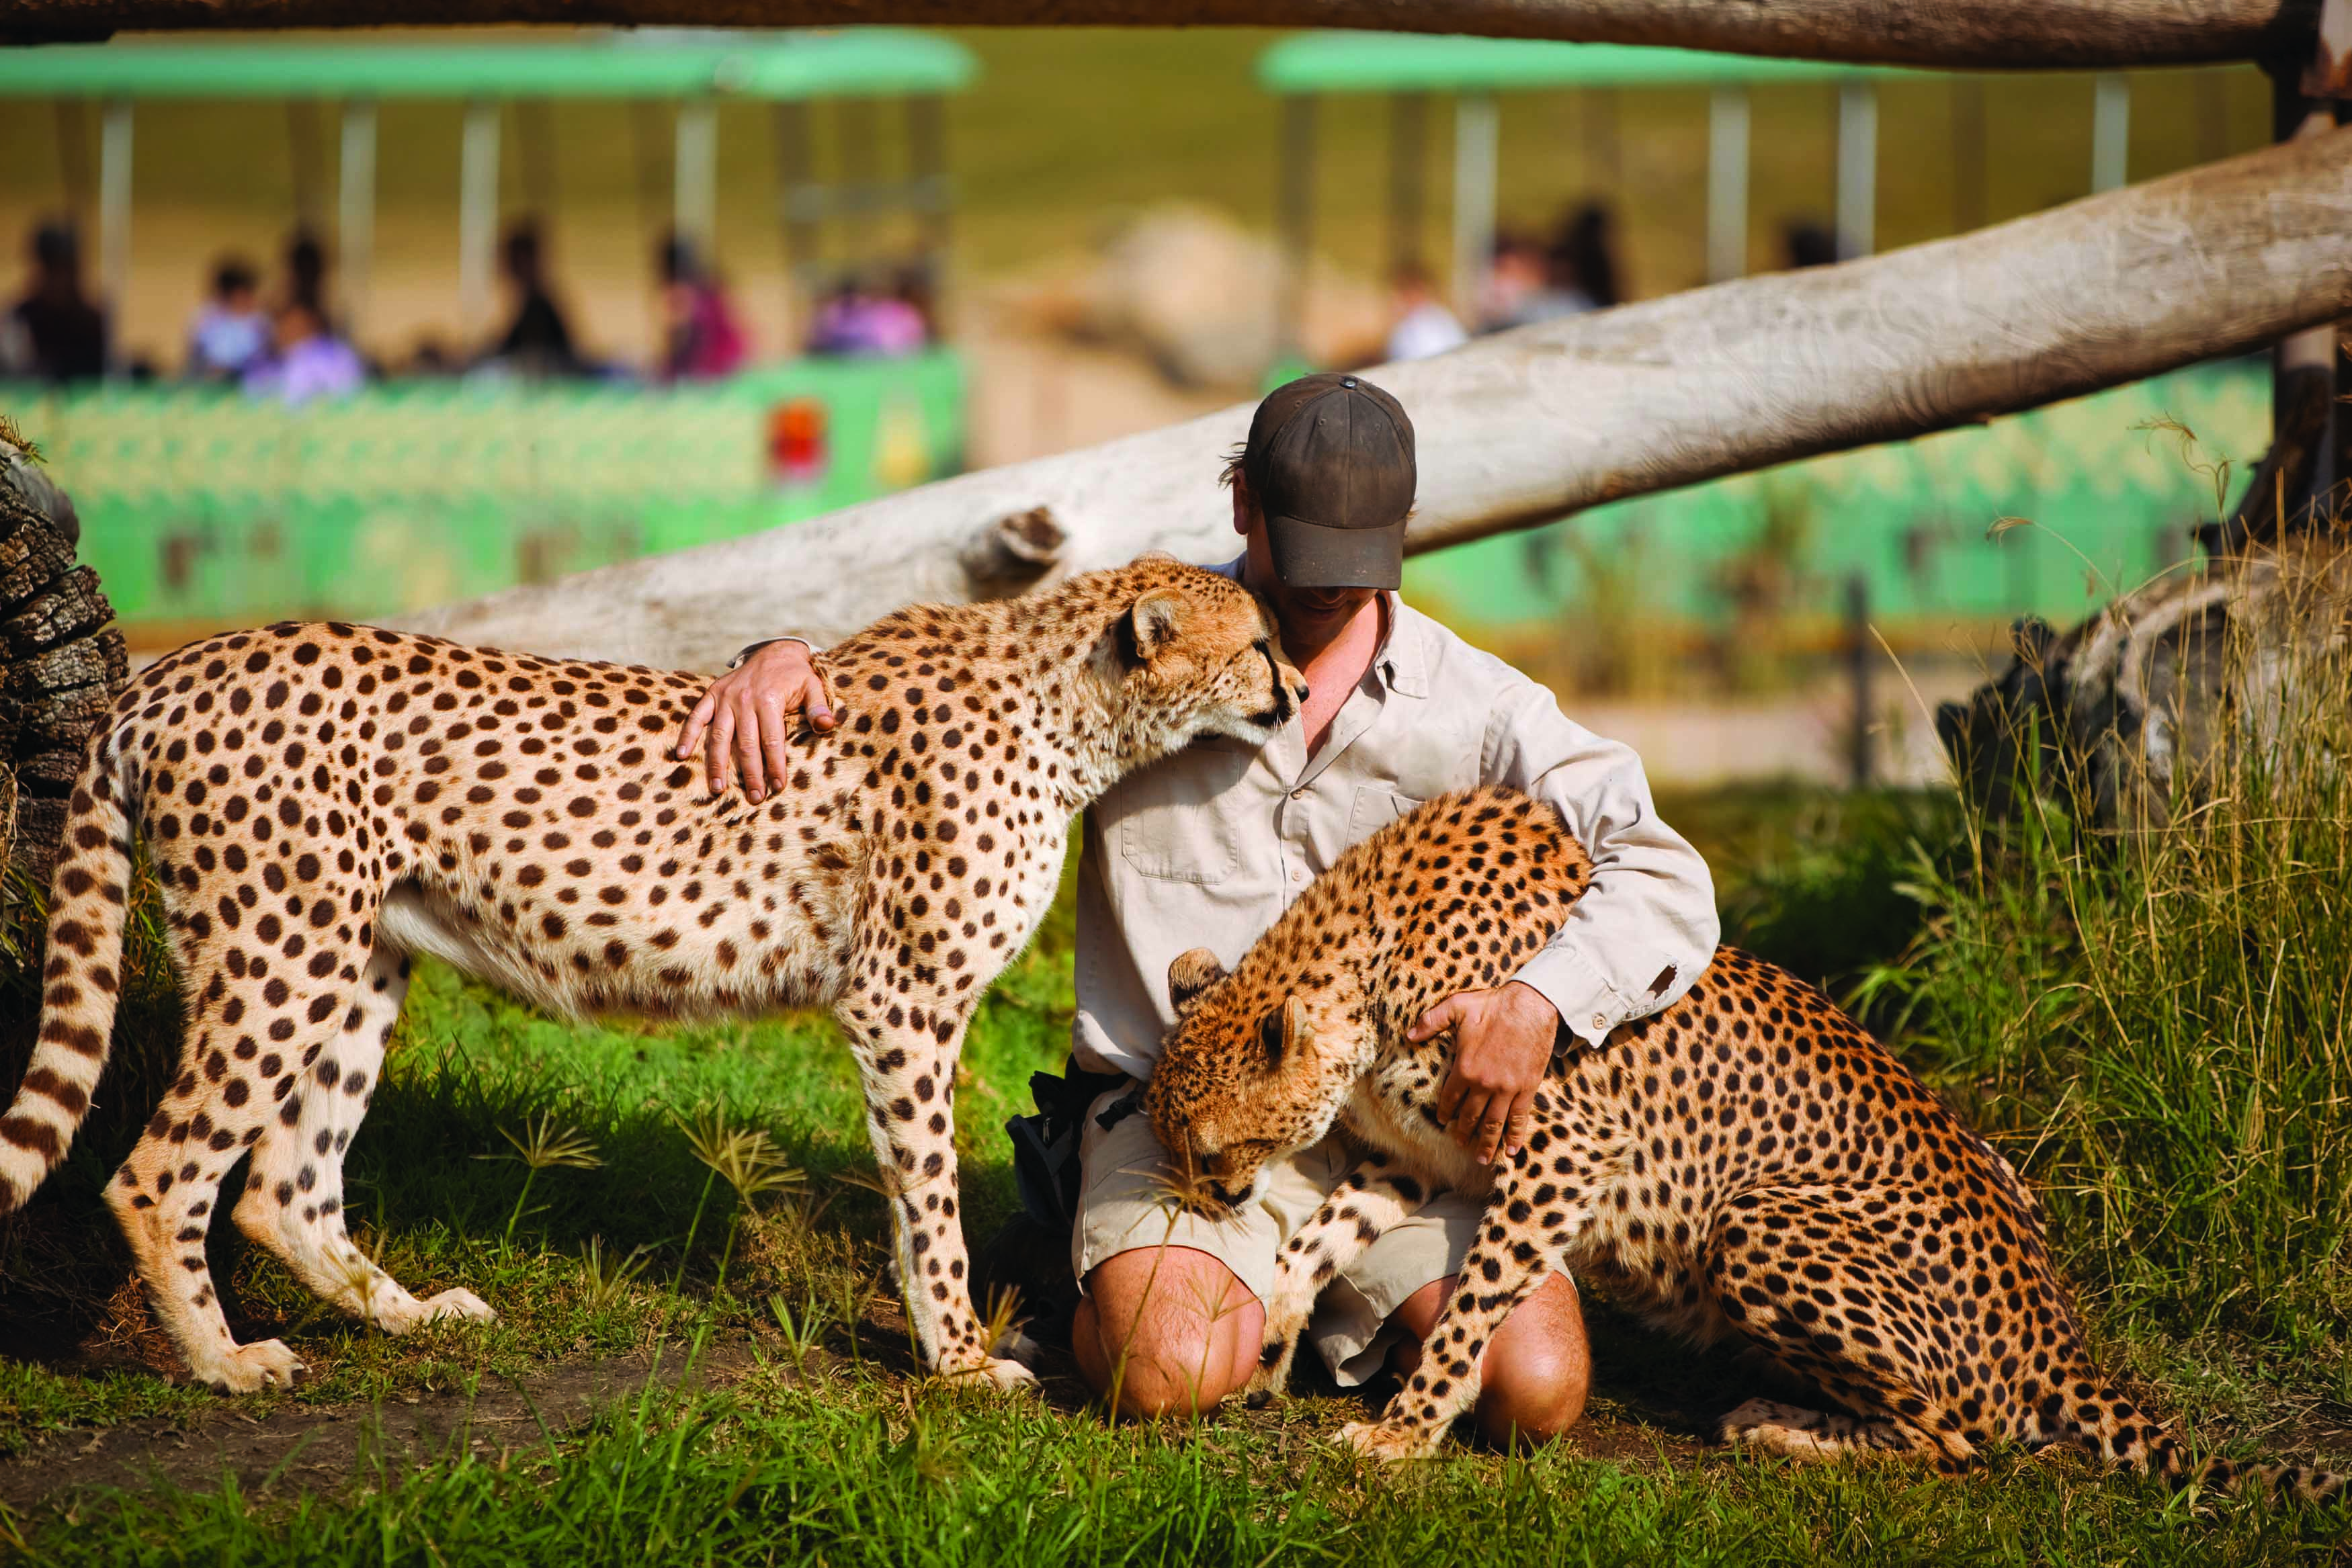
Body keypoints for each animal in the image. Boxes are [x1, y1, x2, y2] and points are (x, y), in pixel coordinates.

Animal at [0, 557, 1307, 1395]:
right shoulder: (905, 1005)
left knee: (283, 1183)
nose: (1298, 687)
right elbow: (928, 1199)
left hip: (358, 959)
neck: (1063, 701)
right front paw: (960, 1359)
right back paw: (224, 1362)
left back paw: (413, 1315)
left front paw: (956, 1348)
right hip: (280, 948)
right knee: (159, 1173)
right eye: (1257, 642)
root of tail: (181, 665)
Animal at [1144, 784, 2344, 1500]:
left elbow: (1472, 1306)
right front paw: (1274, 1337)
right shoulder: (1418, 1155)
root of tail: (2055, 1325)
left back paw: (1781, 1426)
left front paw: (1403, 1432)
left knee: (1970, 1434)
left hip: (1755, 1221)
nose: (1203, 1199)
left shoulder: (1563, 1154)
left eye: (1204, 1145)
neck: (1365, 958)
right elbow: (1317, 1238)